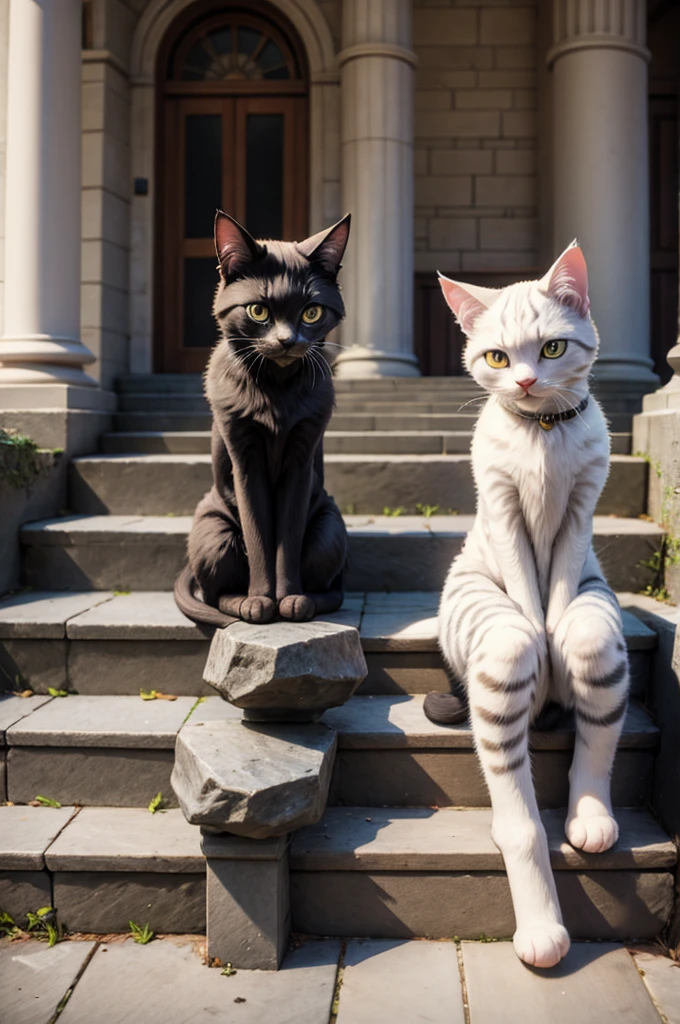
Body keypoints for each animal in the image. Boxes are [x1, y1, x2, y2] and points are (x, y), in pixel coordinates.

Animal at [175, 209, 350, 622]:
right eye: (258, 310)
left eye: (311, 312)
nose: (287, 341)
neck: (276, 390)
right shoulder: (244, 455)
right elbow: (258, 535)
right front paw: (260, 601)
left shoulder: (302, 455)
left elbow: (286, 536)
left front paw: (289, 598)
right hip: (214, 532)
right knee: (215, 593)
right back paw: (243, 602)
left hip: (329, 530)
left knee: (327, 585)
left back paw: (307, 601)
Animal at [436, 243, 626, 970]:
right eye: (495, 356)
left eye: (550, 347)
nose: (521, 383)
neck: (543, 433)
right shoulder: (503, 505)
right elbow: (526, 594)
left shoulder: (582, 507)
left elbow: (560, 594)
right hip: (493, 656)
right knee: (515, 812)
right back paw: (542, 930)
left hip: (602, 643)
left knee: (594, 744)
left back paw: (592, 821)